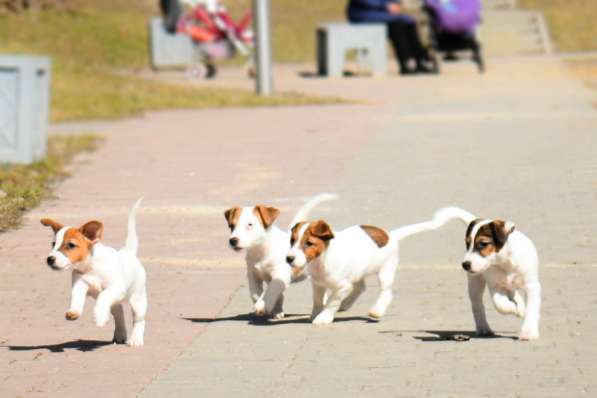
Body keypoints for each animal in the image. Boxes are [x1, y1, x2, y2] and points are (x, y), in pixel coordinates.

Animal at [40, 198, 147, 346]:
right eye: (53, 244)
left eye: (71, 245)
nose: (49, 259)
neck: (91, 267)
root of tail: (128, 252)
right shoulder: (79, 285)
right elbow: (76, 298)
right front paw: (74, 311)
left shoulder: (116, 287)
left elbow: (103, 296)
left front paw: (99, 317)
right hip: (116, 301)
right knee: (118, 311)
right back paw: (120, 334)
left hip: (137, 299)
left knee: (139, 320)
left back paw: (135, 339)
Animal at [286, 208, 458, 324]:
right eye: (292, 241)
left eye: (309, 243)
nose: (289, 258)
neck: (322, 260)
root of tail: (391, 236)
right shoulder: (318, 284)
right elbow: (317, 301)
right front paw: (315, 314)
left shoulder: (342, 286)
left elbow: (331, 302)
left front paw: (323, 318)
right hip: (359, 272)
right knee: (360, 287)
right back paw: (346, 304)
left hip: (385, 272)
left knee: (386, 293)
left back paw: (376, 311)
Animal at [438, 207, 540, 340]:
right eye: (467, 244)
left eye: (483, 244)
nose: (465, 264)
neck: (504, 262)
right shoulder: (495, 286)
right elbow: (501, 305)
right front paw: (515, 310)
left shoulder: (532, 286)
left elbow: (532, 309)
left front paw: (528, 332)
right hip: (475, 284)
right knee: (477, 306)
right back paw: (484, 328)